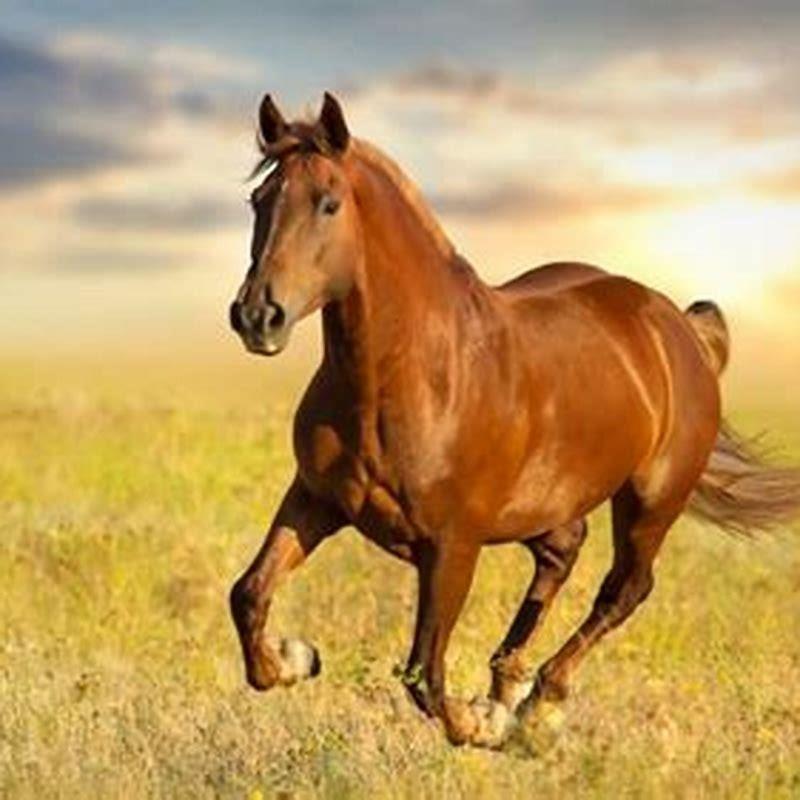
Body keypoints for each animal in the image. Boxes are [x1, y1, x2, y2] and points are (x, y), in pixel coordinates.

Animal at [227, 92, 800, 750]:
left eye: (328, 202)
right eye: (259, 200)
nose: (257, 316)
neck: (408, 378)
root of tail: (680, 328)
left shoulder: (452, 544)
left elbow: (424, 673)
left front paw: (482, 724)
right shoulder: (316, 500)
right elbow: (248, 594)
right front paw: (296, 658)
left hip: (650, 503)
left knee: (624, 590)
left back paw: (536, 704)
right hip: (546, 503)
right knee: (562, 553)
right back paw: (508, 683)